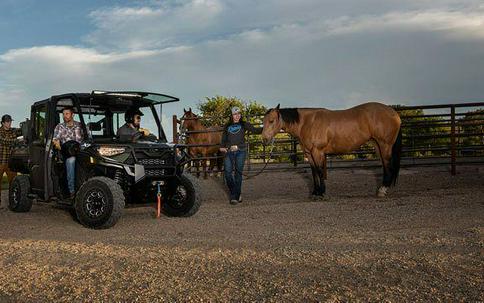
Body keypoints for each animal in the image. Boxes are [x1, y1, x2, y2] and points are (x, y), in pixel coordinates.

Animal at [262, 102, 402, 198]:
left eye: (271, 121)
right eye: (263, 121)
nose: (264, 139)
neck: (307, 123)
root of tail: (394, 113)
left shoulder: (317, 152)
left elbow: (319, 171)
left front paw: (322, 192)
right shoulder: (309, 153)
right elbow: (314, 172)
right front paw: (315, 192)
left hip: (385, 145)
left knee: (388, 167)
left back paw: (382, 190)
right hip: (378, 146)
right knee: (385, 167)